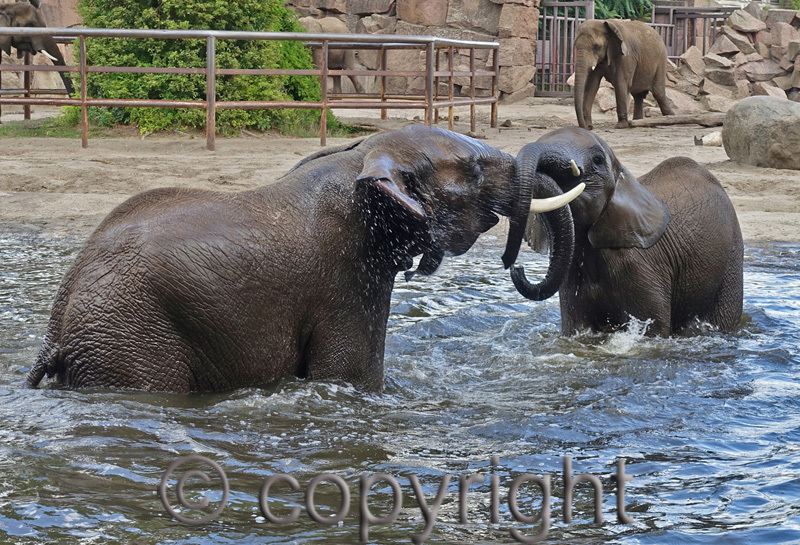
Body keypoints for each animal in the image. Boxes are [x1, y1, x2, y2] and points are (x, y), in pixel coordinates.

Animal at [27, 125, 581, 393]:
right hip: (129, 336)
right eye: (474, 170)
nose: (514, 263)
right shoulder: (348, 274)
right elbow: (351, 376)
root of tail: (56, 330)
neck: (356, 158)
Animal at [504, 127, 743, 337]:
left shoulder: (640, 264)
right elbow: (575, 327)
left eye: (598, 160)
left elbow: (654, 329)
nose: (516, 267)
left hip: (731, 254)